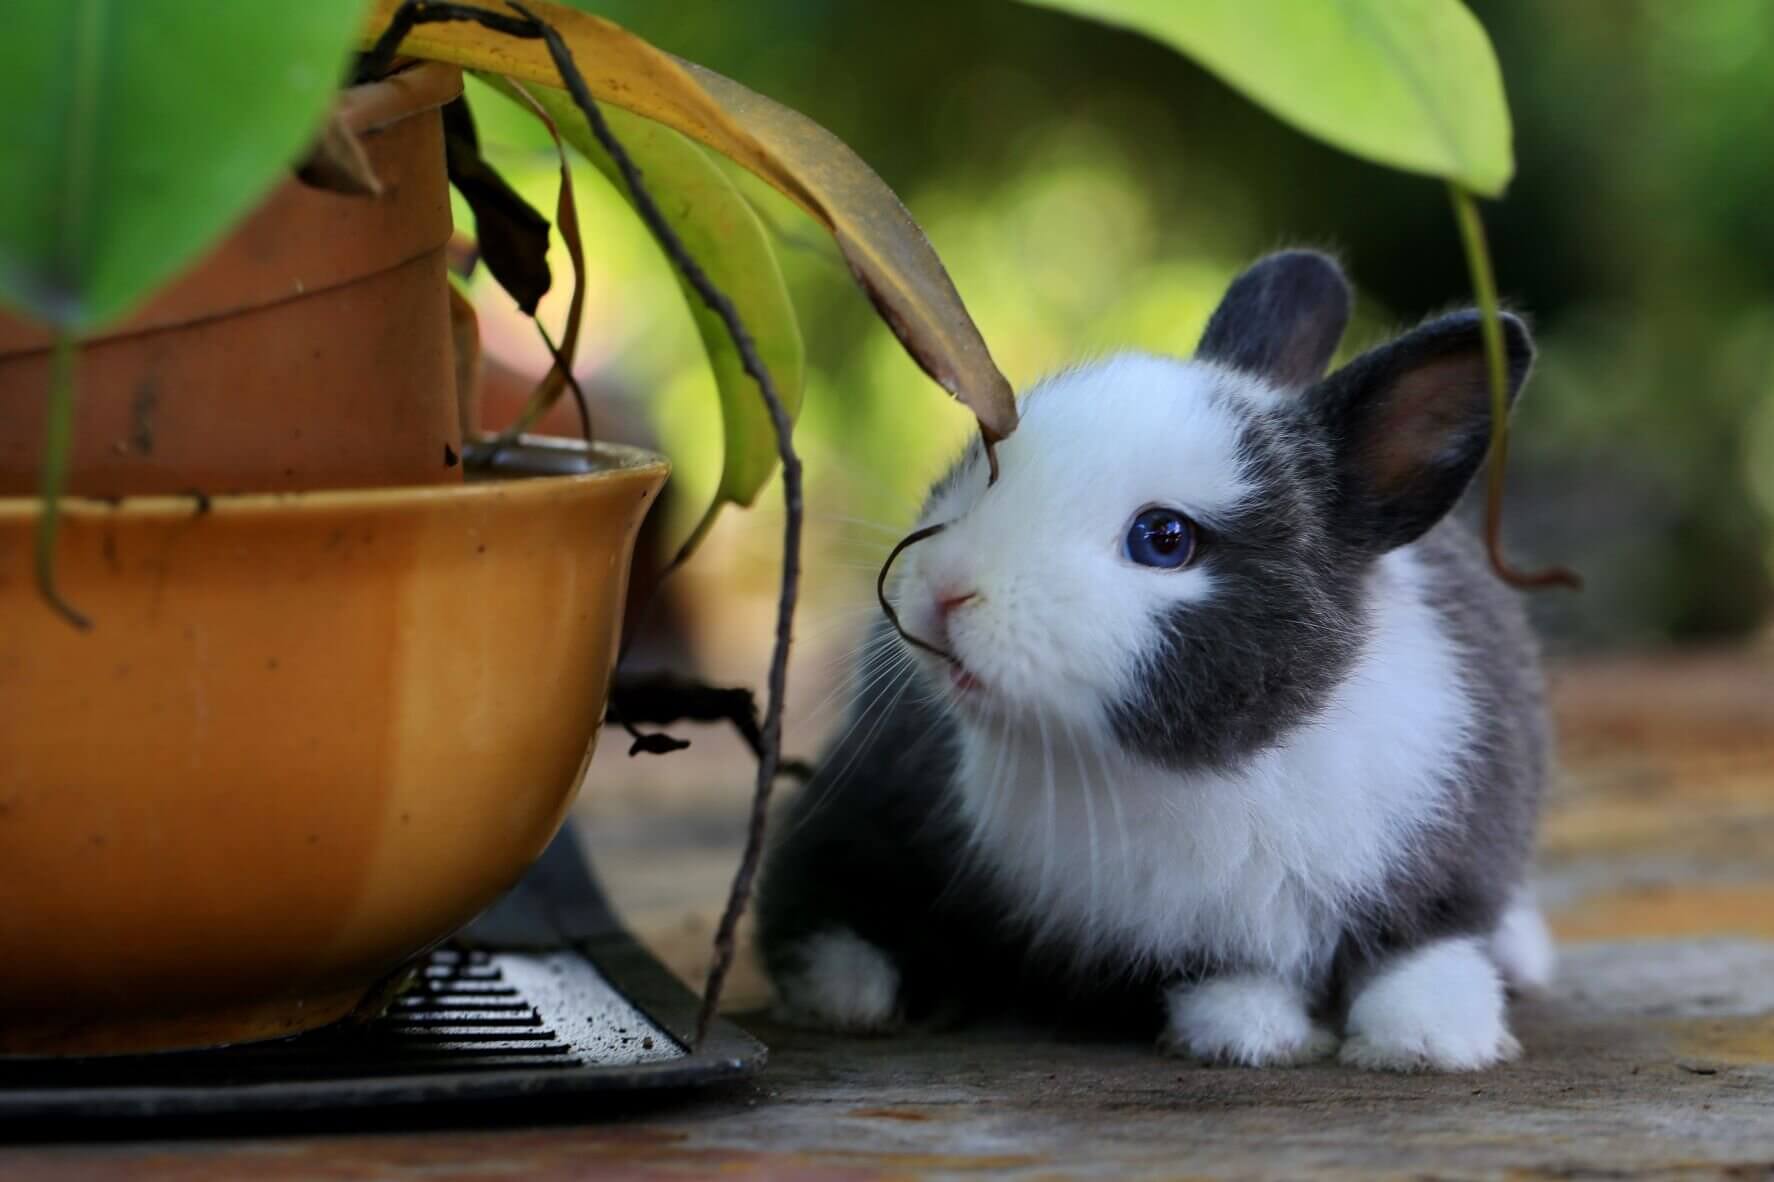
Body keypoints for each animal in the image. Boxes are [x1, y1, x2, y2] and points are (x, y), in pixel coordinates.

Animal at [759, 248, 1554, 1064]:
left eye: (1164, 540)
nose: (946, 588)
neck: (1215, 769)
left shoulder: (1453, 855)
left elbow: (1425, 950)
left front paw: (1428, 1040)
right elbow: (1222, 976)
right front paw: (1253, 1034)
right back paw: (851, 993)